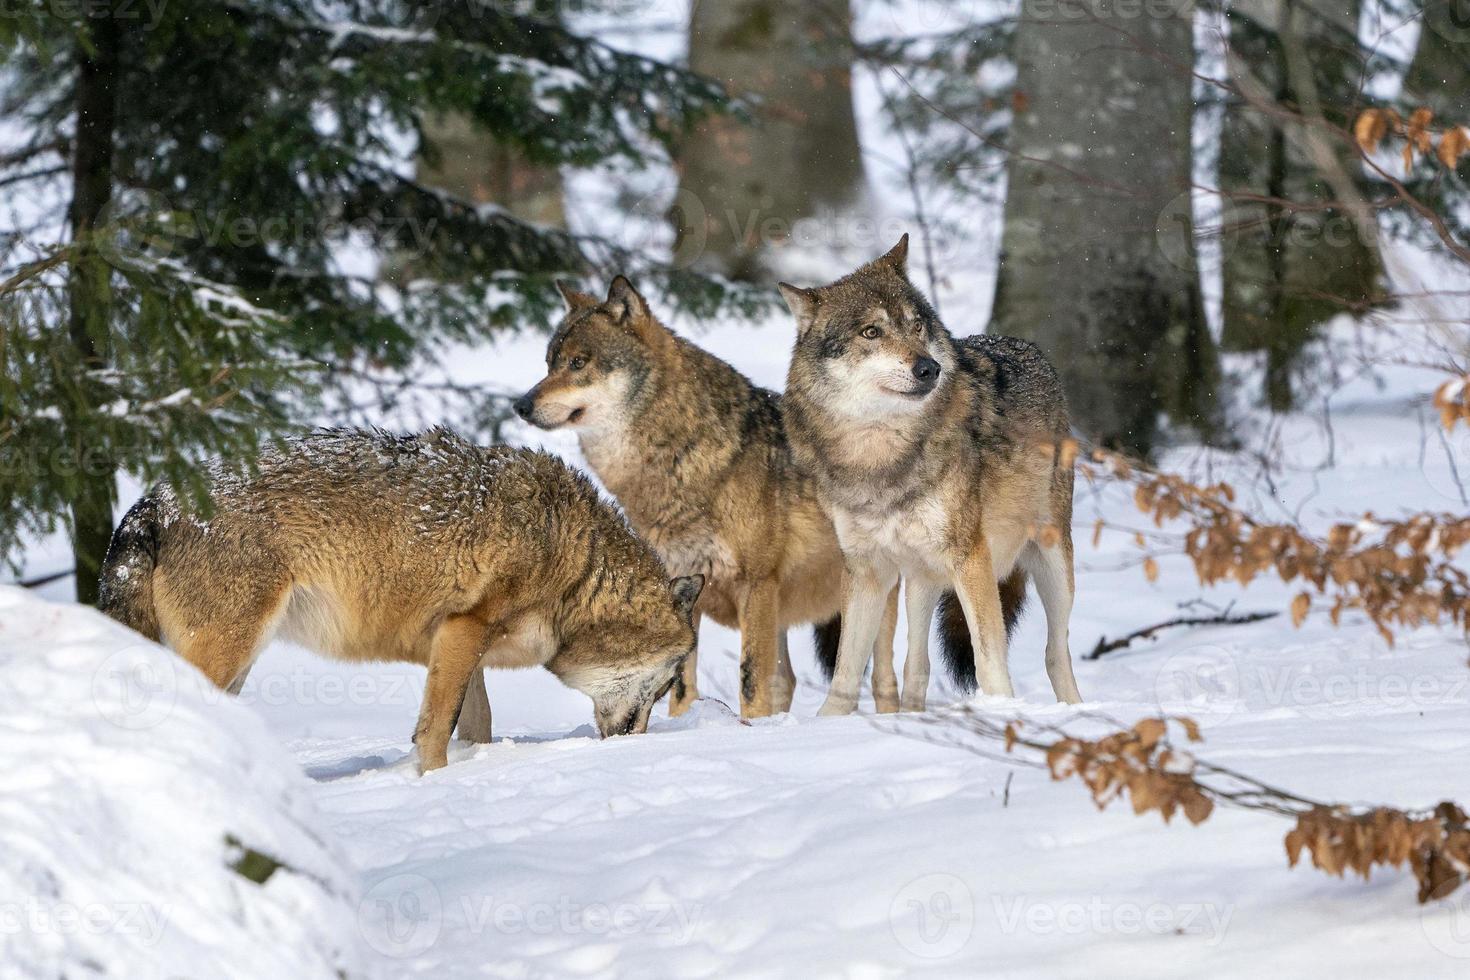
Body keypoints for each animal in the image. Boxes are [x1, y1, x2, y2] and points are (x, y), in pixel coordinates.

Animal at [782, 238, 1081, 714]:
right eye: (871, 332)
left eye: (917, 325)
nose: (928, 368)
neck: (879, 454)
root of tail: (1026, 345)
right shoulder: (866, 570)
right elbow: (847, 671)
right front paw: (827, 723)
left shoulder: (970, 558)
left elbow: (989, 660)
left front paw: (1002, 709)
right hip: (920, 577)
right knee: (916, 664)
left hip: (1051, 559)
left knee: (1056, 652)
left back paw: (1074, 709)